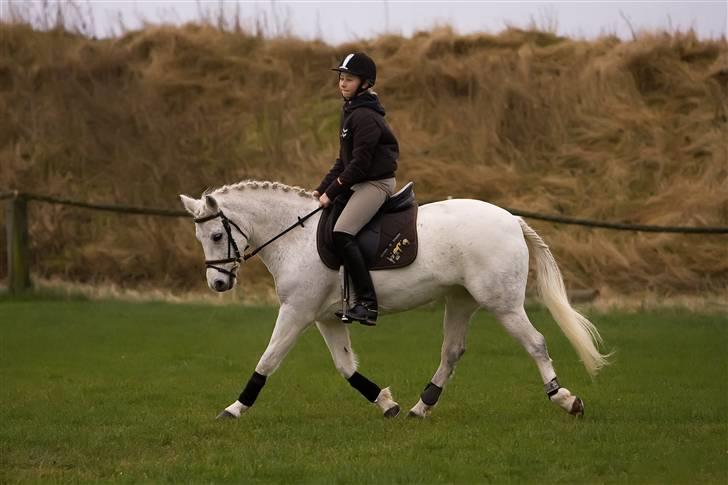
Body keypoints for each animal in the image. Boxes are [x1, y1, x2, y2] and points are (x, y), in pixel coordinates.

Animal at [181, 180, 608, 418]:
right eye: (201, 238)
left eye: (217, 236)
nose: (218, 283)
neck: (295, 237)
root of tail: (511, 219)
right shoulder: (325, 317)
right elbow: (346, 367)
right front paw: (386, 403)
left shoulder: (297, 311)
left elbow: (268, 360)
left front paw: (234, 409)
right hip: (461, 299)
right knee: (452, 352)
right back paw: (421, 407)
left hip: (501, 303)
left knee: (535, 343)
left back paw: (566, 400)